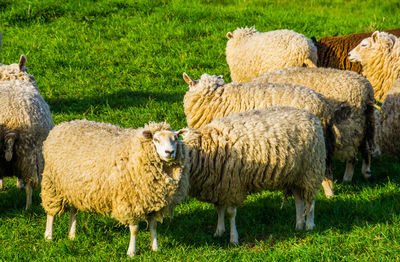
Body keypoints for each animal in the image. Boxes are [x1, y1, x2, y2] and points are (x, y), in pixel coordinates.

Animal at [0, 55, 53, 209]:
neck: (13, 79)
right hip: (31, 155)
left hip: (27, 154)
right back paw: (28, 207)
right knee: (30, 184)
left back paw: (27, 208)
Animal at [41, 119, 191, 256]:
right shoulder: (131, 202)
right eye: (156, 139)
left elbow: (153, 226)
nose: (169, 152)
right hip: (52, 184)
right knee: (51, 212)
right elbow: (134, 229)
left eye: (176, 138)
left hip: (73, 187)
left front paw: (155, 248)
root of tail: (63, 125)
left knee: (73, 210)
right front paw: (131, 252)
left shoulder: (154, 203)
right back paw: (48, 236)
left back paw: (72, 235)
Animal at [180, 106, 326, 244]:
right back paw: (299, 224)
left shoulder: (233, 185)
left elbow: (230, 213)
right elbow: (219, 209)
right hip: (295, 175)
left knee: (310, 200)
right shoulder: (219, 186)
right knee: (299, 199)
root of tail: (311, 116)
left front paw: (233, 238)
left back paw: (309, 225)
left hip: (311, 169)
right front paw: (219, 231)